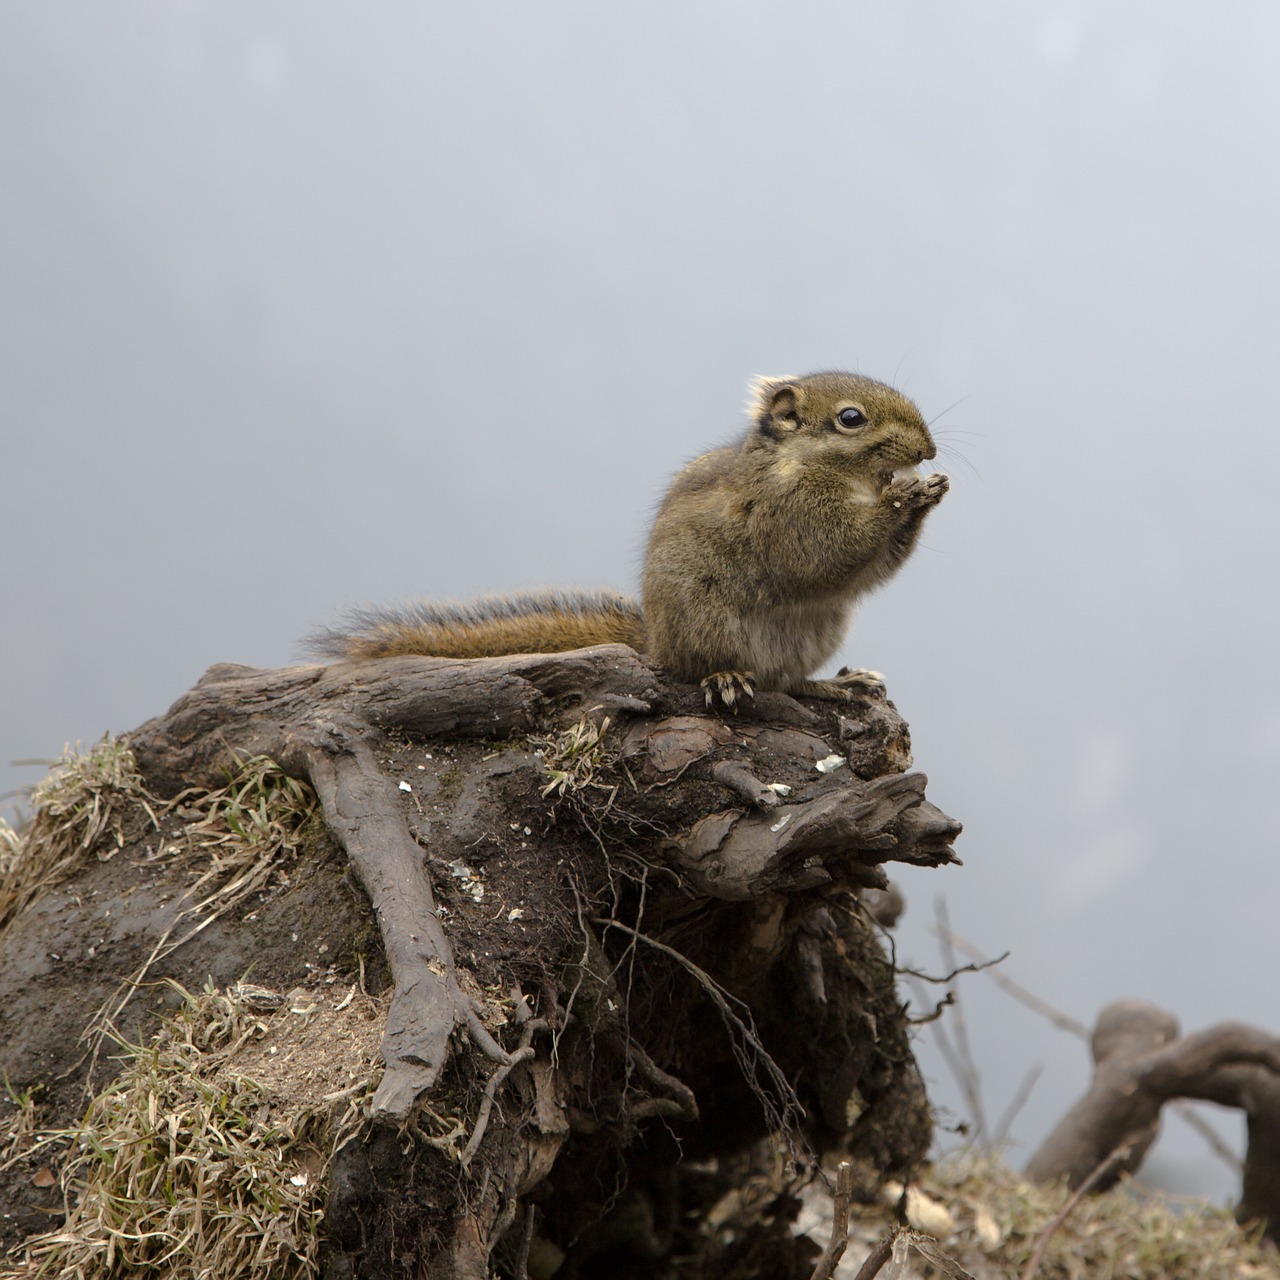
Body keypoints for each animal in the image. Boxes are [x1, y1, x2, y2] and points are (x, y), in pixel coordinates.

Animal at [313, 371, 947, 711]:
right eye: (850, 418)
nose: (929, 450)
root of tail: (657, 644)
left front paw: (929, 491)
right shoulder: (788, 515)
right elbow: (825, 556)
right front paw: (905, 497)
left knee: (788, 684)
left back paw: (835, 687)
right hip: (706, 621)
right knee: (711, 671)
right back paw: (725, 678)